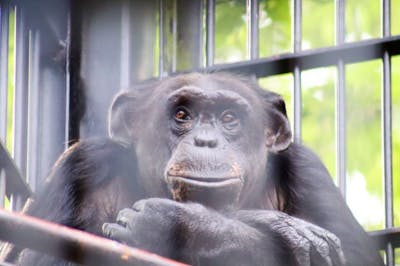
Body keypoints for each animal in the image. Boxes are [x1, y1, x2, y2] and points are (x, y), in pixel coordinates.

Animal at [1, 72, 382, 266]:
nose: (205, 140)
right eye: (182, 114)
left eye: (229, 118)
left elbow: (356, 258)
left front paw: (186, 227)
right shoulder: (80, 167)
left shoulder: (307, 170)